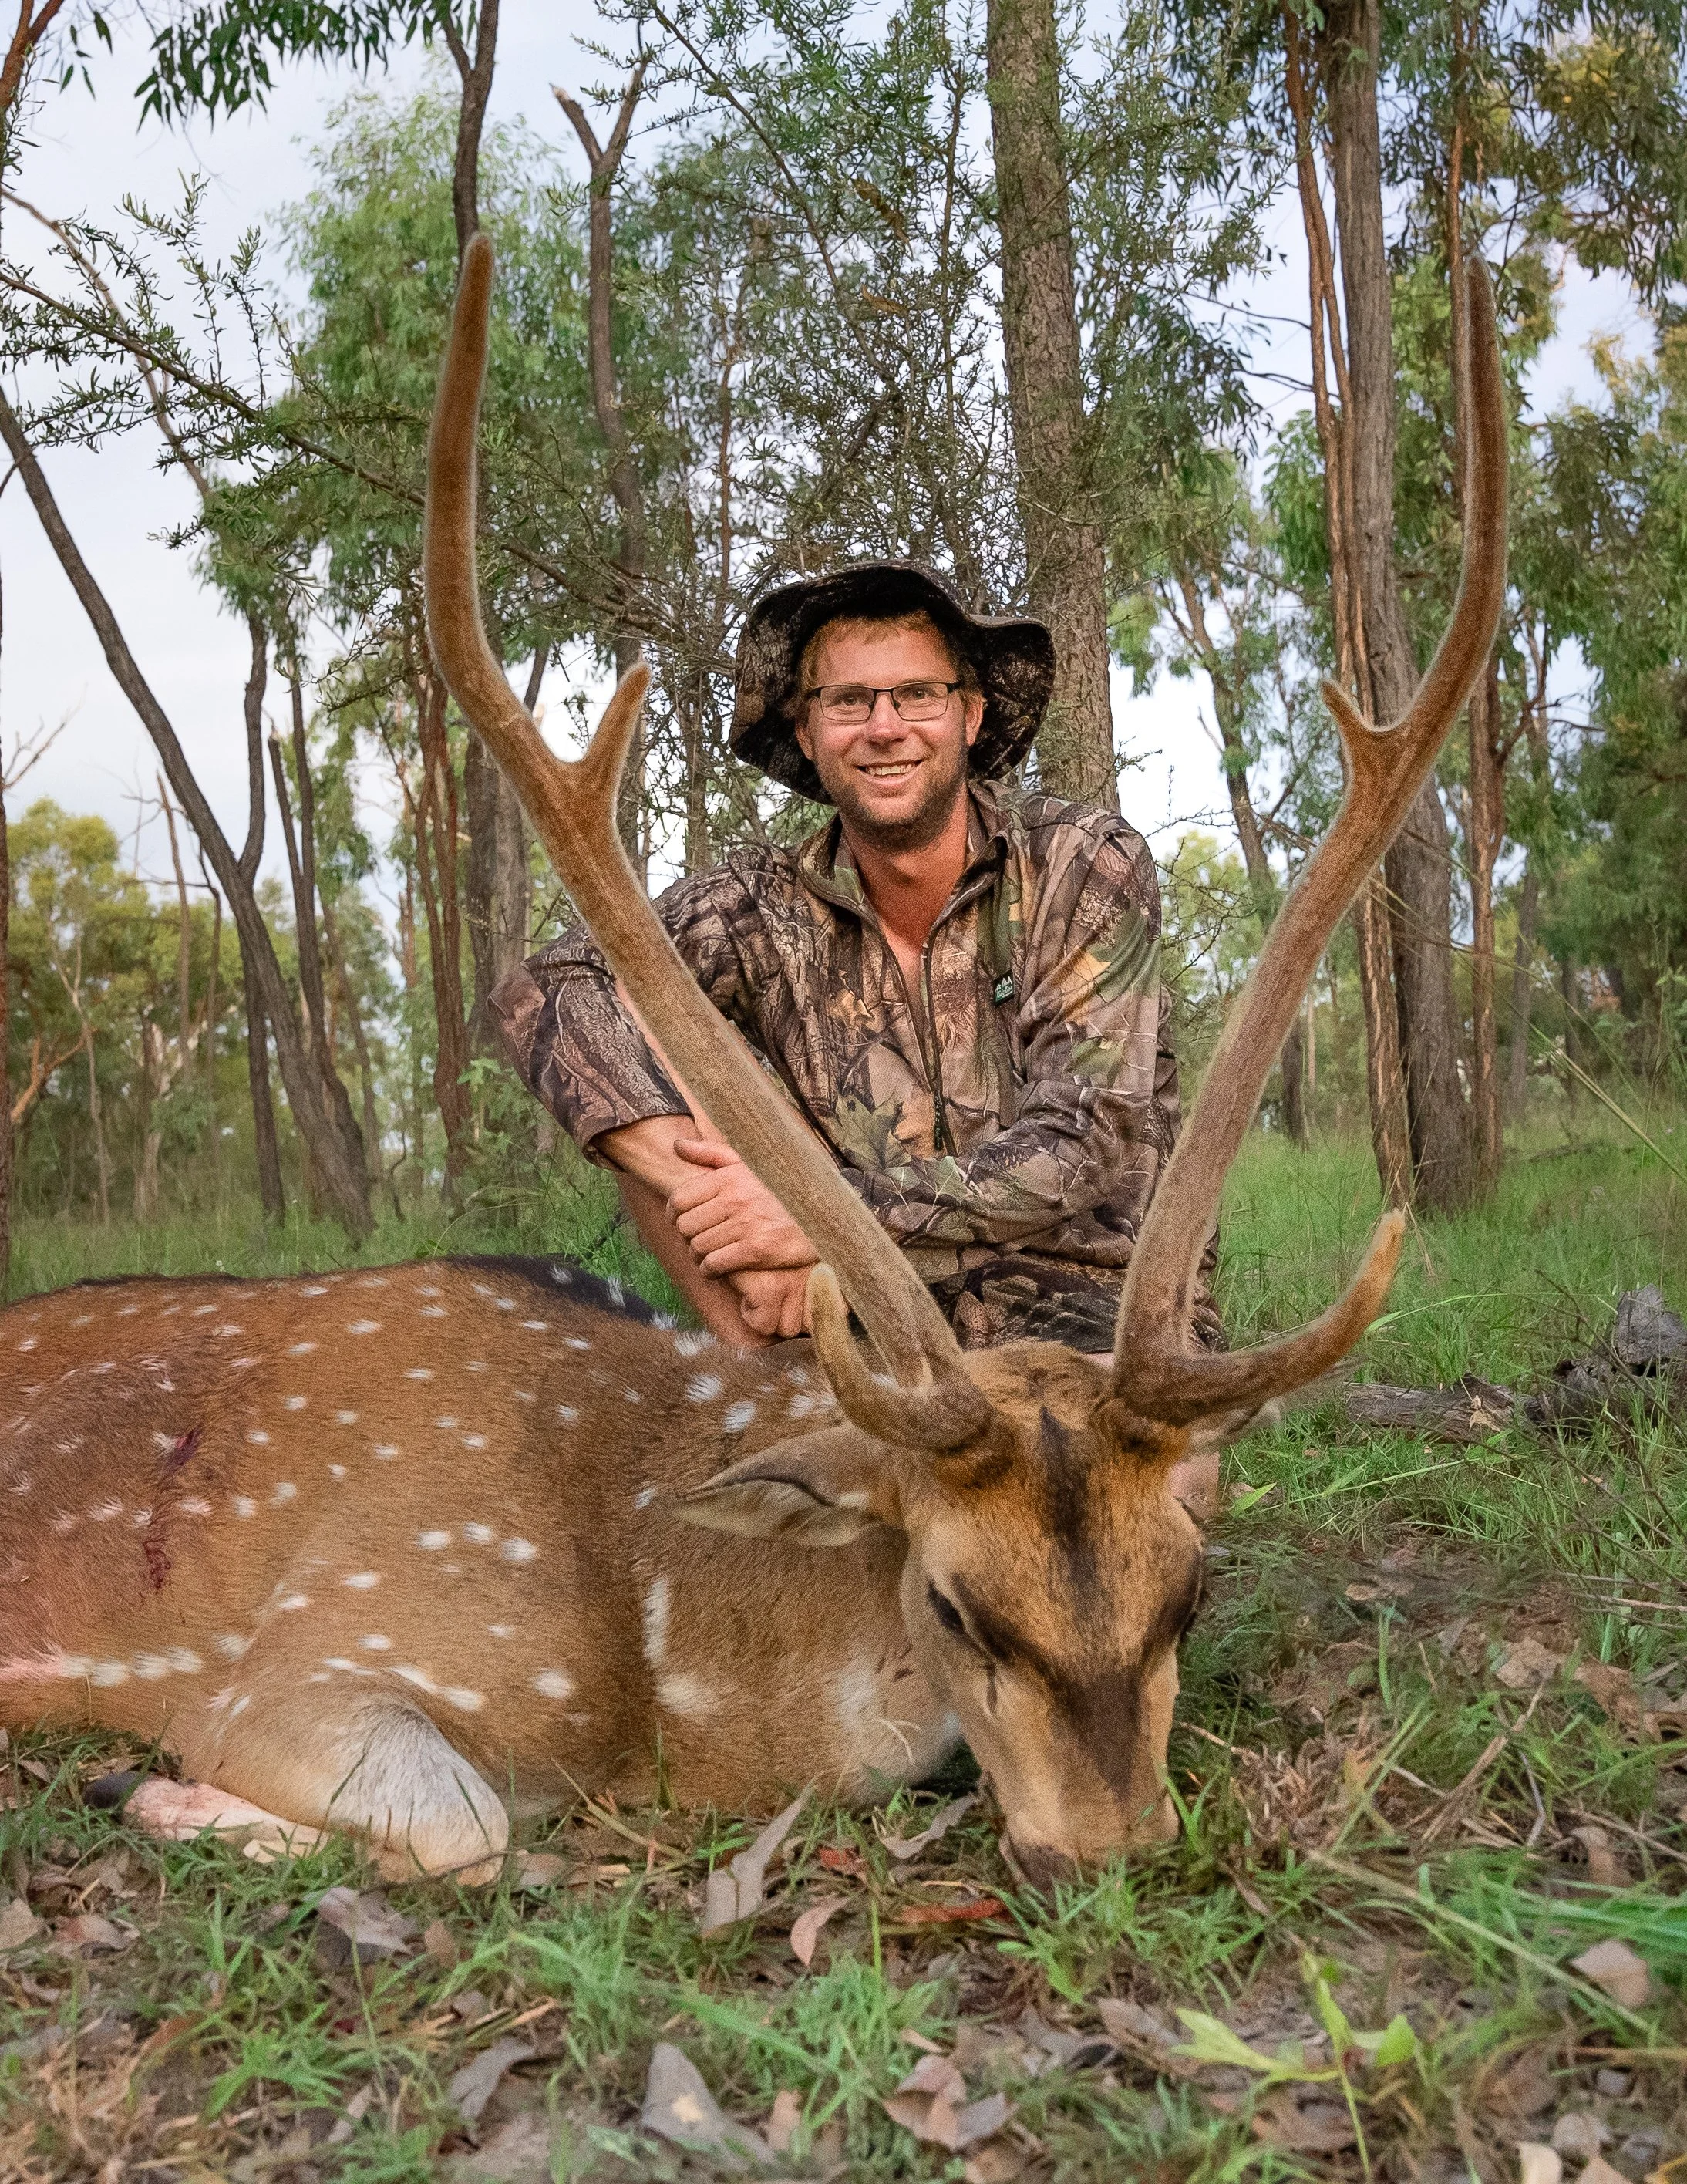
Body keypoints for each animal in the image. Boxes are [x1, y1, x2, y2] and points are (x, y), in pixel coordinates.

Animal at [0, 239, 1507, 1889]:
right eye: (954, 1602)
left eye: (1184, 1594)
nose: (1102, 1850)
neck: (665, 1658)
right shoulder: (307, 1652)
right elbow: (469, 1826)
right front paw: (146, 1787)